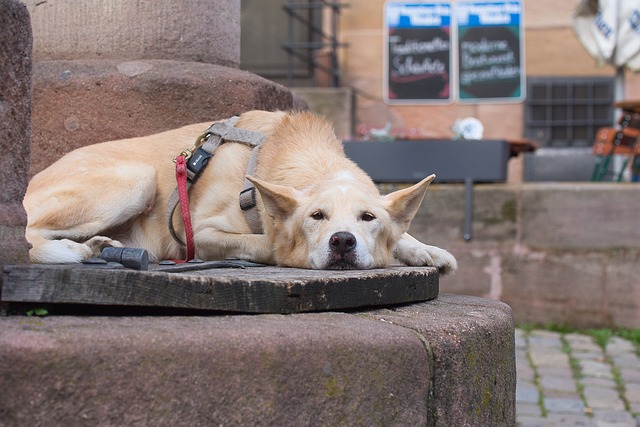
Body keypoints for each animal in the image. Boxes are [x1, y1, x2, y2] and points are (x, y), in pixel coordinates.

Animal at [23, 109, 456, 270]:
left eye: (368, 218)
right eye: (316, 217)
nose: (343, 241)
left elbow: (403, 235)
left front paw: (425, 250)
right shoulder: (198, 233)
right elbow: (268, 245)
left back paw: (100, 247)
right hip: (136, 180)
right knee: (29, 235)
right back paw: (75, 250)